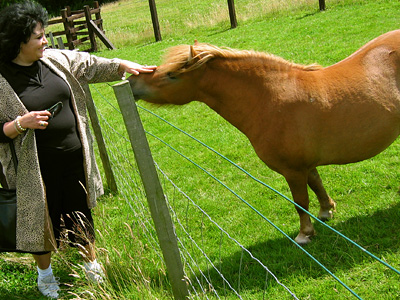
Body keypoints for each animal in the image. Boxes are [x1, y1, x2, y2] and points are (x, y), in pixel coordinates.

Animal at [127, 30, 400, 245]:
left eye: (172, 75)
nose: (132, 81)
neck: (271, 98)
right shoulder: (306, 166)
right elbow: (317, 184)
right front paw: (326, 211)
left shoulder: (293, 170)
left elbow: (300, 201)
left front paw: (305, 233)